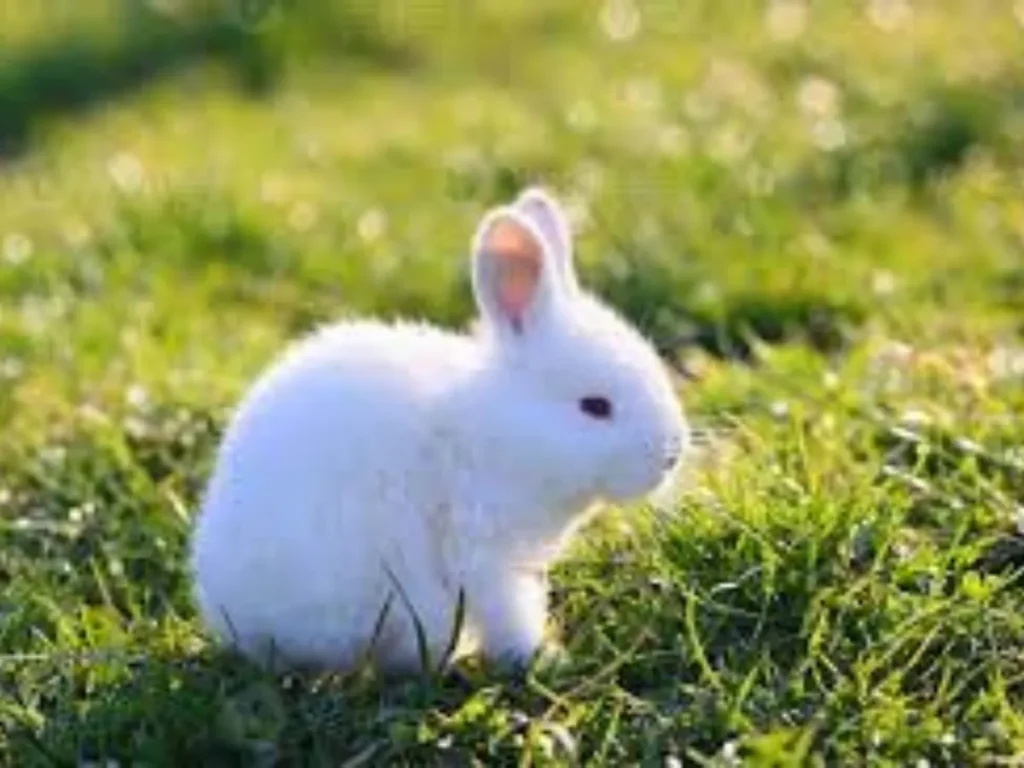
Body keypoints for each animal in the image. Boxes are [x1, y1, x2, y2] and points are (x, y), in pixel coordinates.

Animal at [190, 187, 690, 675]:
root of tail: (230, 615)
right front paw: (544, 659)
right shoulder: (484, 548)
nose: (671, 455)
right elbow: (509, 614)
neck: (500, 428)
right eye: (595, 407)